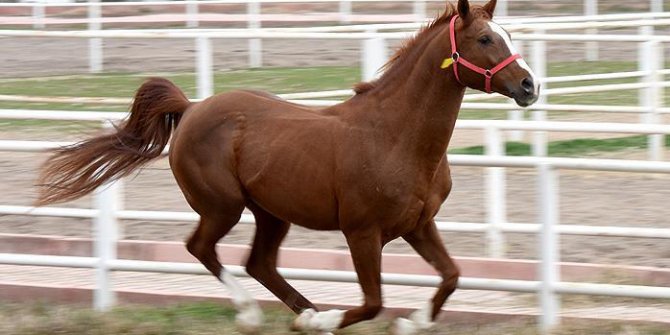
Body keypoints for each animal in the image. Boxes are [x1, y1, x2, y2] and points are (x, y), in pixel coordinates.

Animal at [35, 1, 540, 334]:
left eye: (509, 35)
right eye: (485, 39)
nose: (529, 86)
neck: (395, 136)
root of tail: (192, 107)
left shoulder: (419, 224)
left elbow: (451, 276)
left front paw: (413, 323)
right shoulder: (362, 233)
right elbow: (372, 302)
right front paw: (334, 319)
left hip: (271, 213)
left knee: (258, 263)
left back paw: (306, 313)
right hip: (223, 207)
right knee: (202, 248)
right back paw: (260, 314)